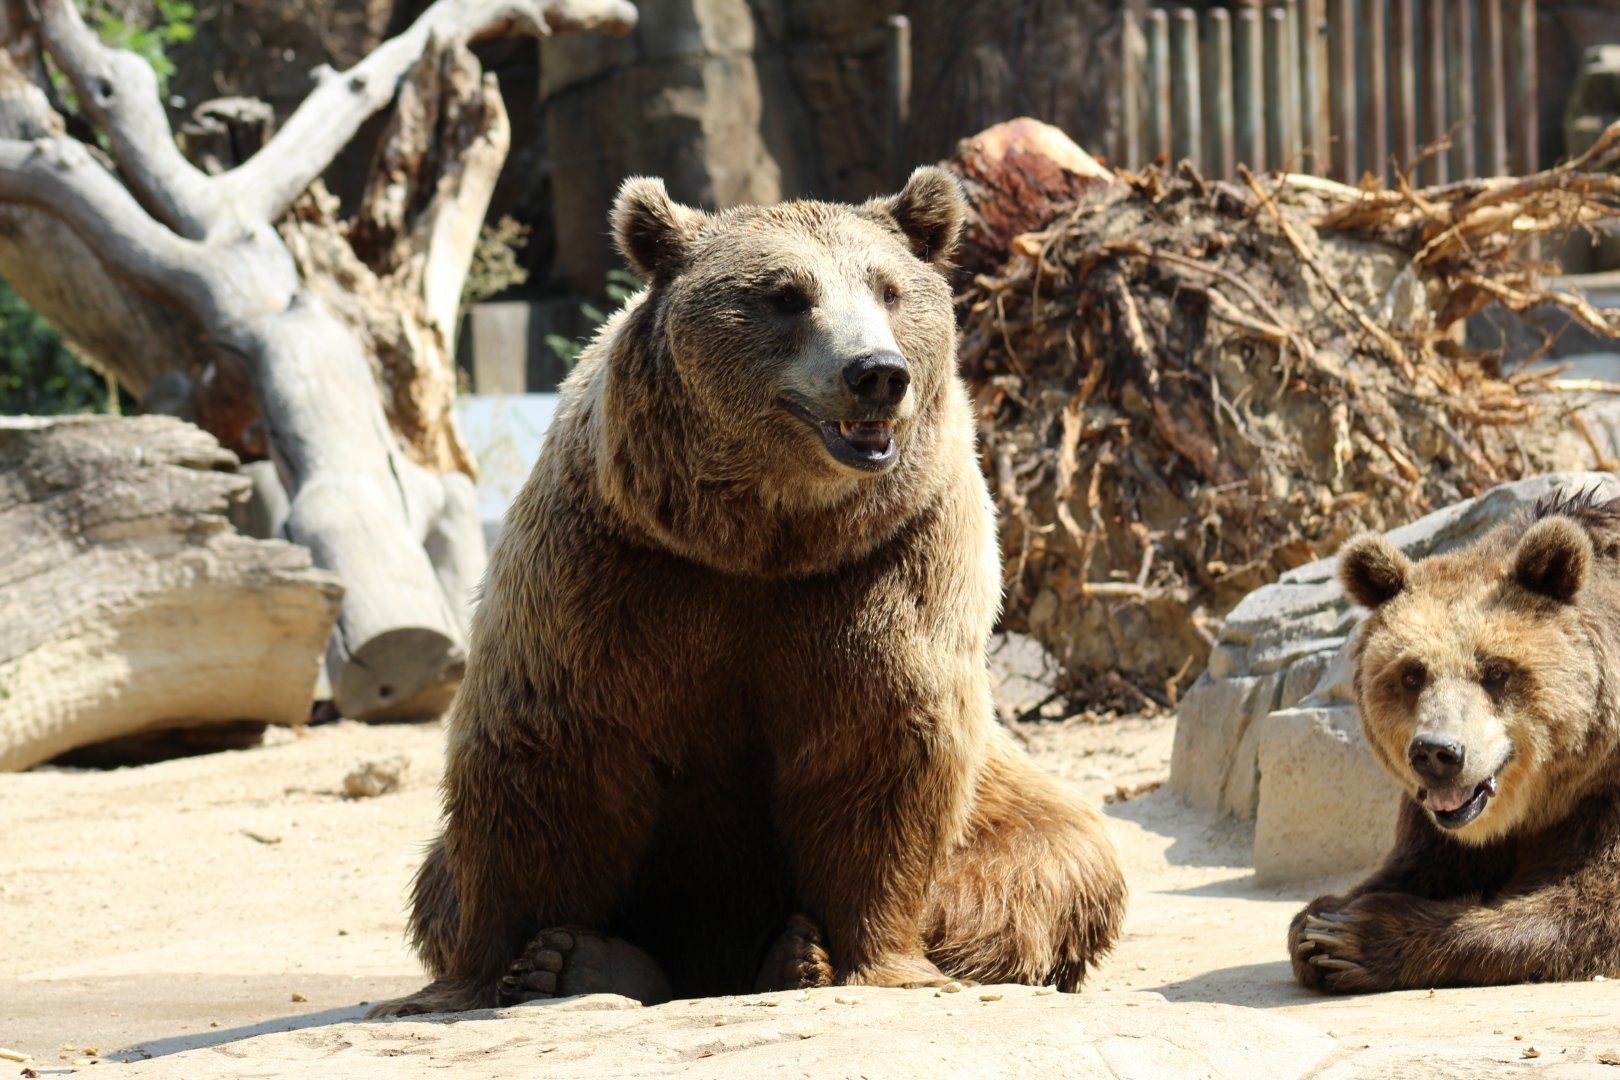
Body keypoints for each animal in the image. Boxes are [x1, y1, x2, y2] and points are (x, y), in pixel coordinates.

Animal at [366, 167, 1127, 1017]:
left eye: (889, 288)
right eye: (786, 295)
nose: (876, 373)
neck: (761, 537)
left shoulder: (884, 563)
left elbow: (883, 744)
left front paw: (870, 960)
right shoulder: (611, 569)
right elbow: (551, 751)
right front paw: (509, 963)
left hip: (1007, 800)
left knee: (1055, 858)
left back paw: (792, 954)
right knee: (438, 878)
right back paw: (586, 962)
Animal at [1289, 488, 1620, 993]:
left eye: (1496, 670)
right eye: (1412, 673)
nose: (1437, 752)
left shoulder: (1605, 794)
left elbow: (1587, 905)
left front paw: (1356, 937)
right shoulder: (1437, 825)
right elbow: (1415, 866)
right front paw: (1320, 921)